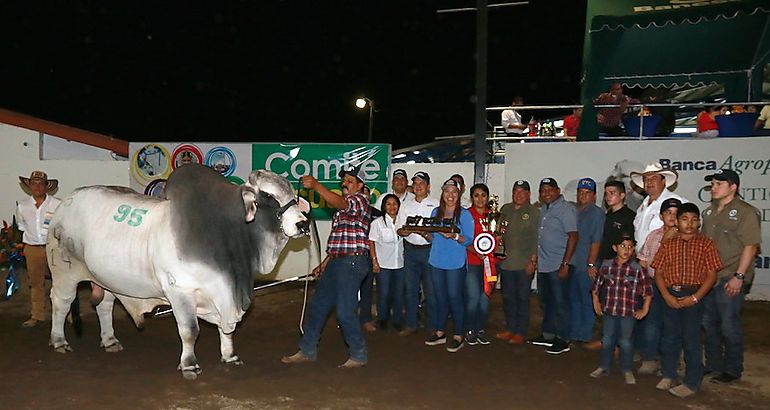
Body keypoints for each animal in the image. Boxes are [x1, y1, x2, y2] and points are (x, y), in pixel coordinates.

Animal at [45, 162, 306, 380]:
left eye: (293, 194)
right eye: (269, 195)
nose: (303, 223)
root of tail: (65, 203)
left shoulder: (225, 295)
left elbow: (227, 329)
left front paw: (230, 356)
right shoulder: (181, 291)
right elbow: (190, 330)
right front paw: (189, 365)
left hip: (105, 279)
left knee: (104, 306)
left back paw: (110, 340)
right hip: (64, 272)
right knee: (61, 303)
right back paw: (59, 342)